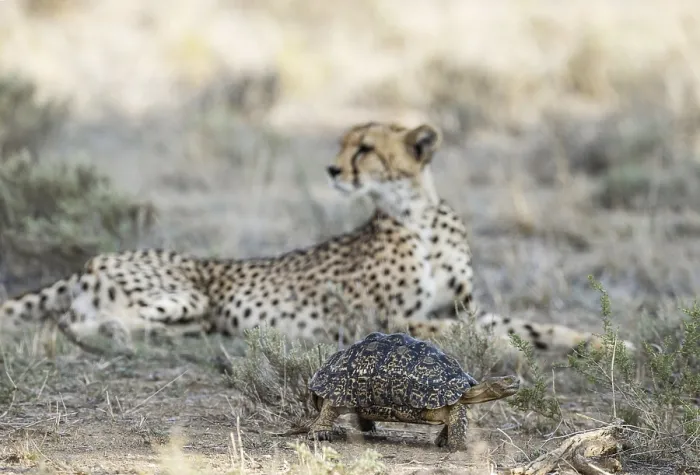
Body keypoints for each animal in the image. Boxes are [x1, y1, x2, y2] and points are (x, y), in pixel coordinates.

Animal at [0, 121, 634, 356]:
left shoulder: (465, 305)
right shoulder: (379, 320)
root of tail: (94, 256)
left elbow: (532, 324)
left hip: (194, 314)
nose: (332, 170)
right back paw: (110, 334)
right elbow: (460, 332)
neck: (419, 215)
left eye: (366, 148)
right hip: (187, 294)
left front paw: (607, 342)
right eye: (342, 144)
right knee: (70, 323)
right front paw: (503, 351)